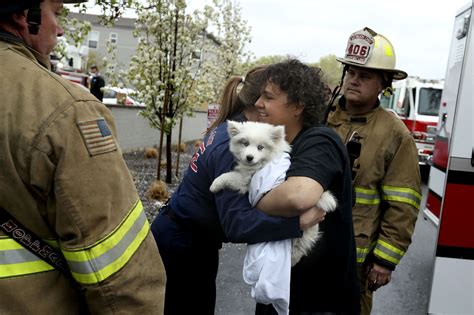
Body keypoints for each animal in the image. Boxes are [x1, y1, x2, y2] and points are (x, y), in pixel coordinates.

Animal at [211, 121, 336, 266]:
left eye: (260, 147)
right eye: (245, 143)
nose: (249, 157)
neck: (262, 162)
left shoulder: (245, 180)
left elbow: (228, 176)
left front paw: (214, 185)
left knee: (298, 249)